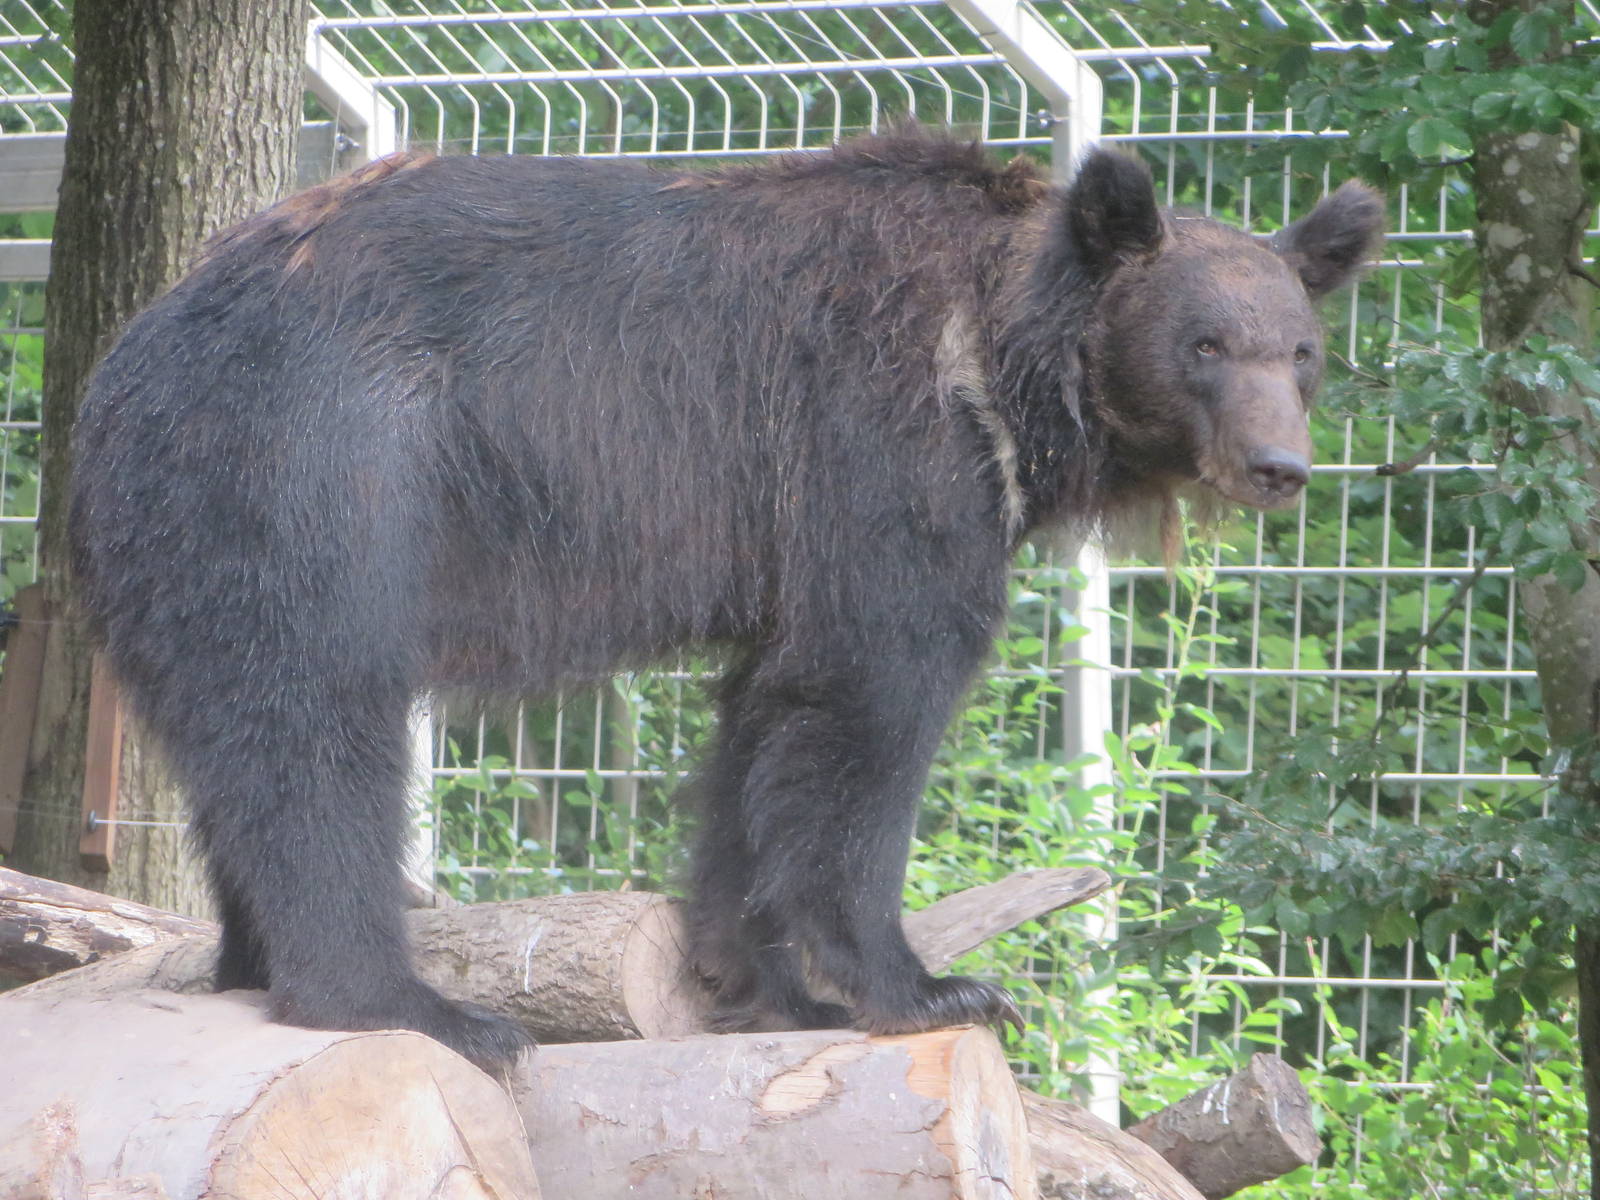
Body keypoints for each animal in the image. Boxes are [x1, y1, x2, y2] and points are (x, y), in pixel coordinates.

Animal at [68, 132, 1384, 1072]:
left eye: (1300, 352)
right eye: (1205, 344)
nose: (1280, 465)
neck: (1006, 369)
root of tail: (125, 354)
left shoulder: (798, 530)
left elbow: (766, 725)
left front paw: (762, 983)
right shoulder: (879, 441)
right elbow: (874, 693)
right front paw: (931, 984)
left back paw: (251, 963)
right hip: (315, 468)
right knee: (314, 719)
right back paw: (418, 1005)